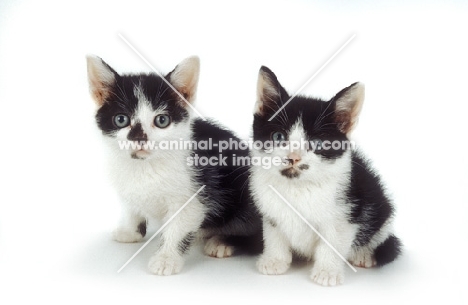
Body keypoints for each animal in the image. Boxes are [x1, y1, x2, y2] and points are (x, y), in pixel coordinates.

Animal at [86, 55, 262, 274]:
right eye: (121, 119)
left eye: (162, 120)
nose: (139, 139)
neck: (145, 166)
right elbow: (131, 206)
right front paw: (130, 231)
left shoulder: (194, 195)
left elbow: (177, 229)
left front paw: (166, 259)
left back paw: (222, 241)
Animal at [250, 66, 400, 284]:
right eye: (278, 136)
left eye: (317, 144)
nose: (293, 157)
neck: (299, 186)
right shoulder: (270, 207)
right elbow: (274, 232)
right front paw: (275, 260)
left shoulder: (347, 210)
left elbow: (334, 240)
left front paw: (327, 272)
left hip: (379, 205)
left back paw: (363, 254)